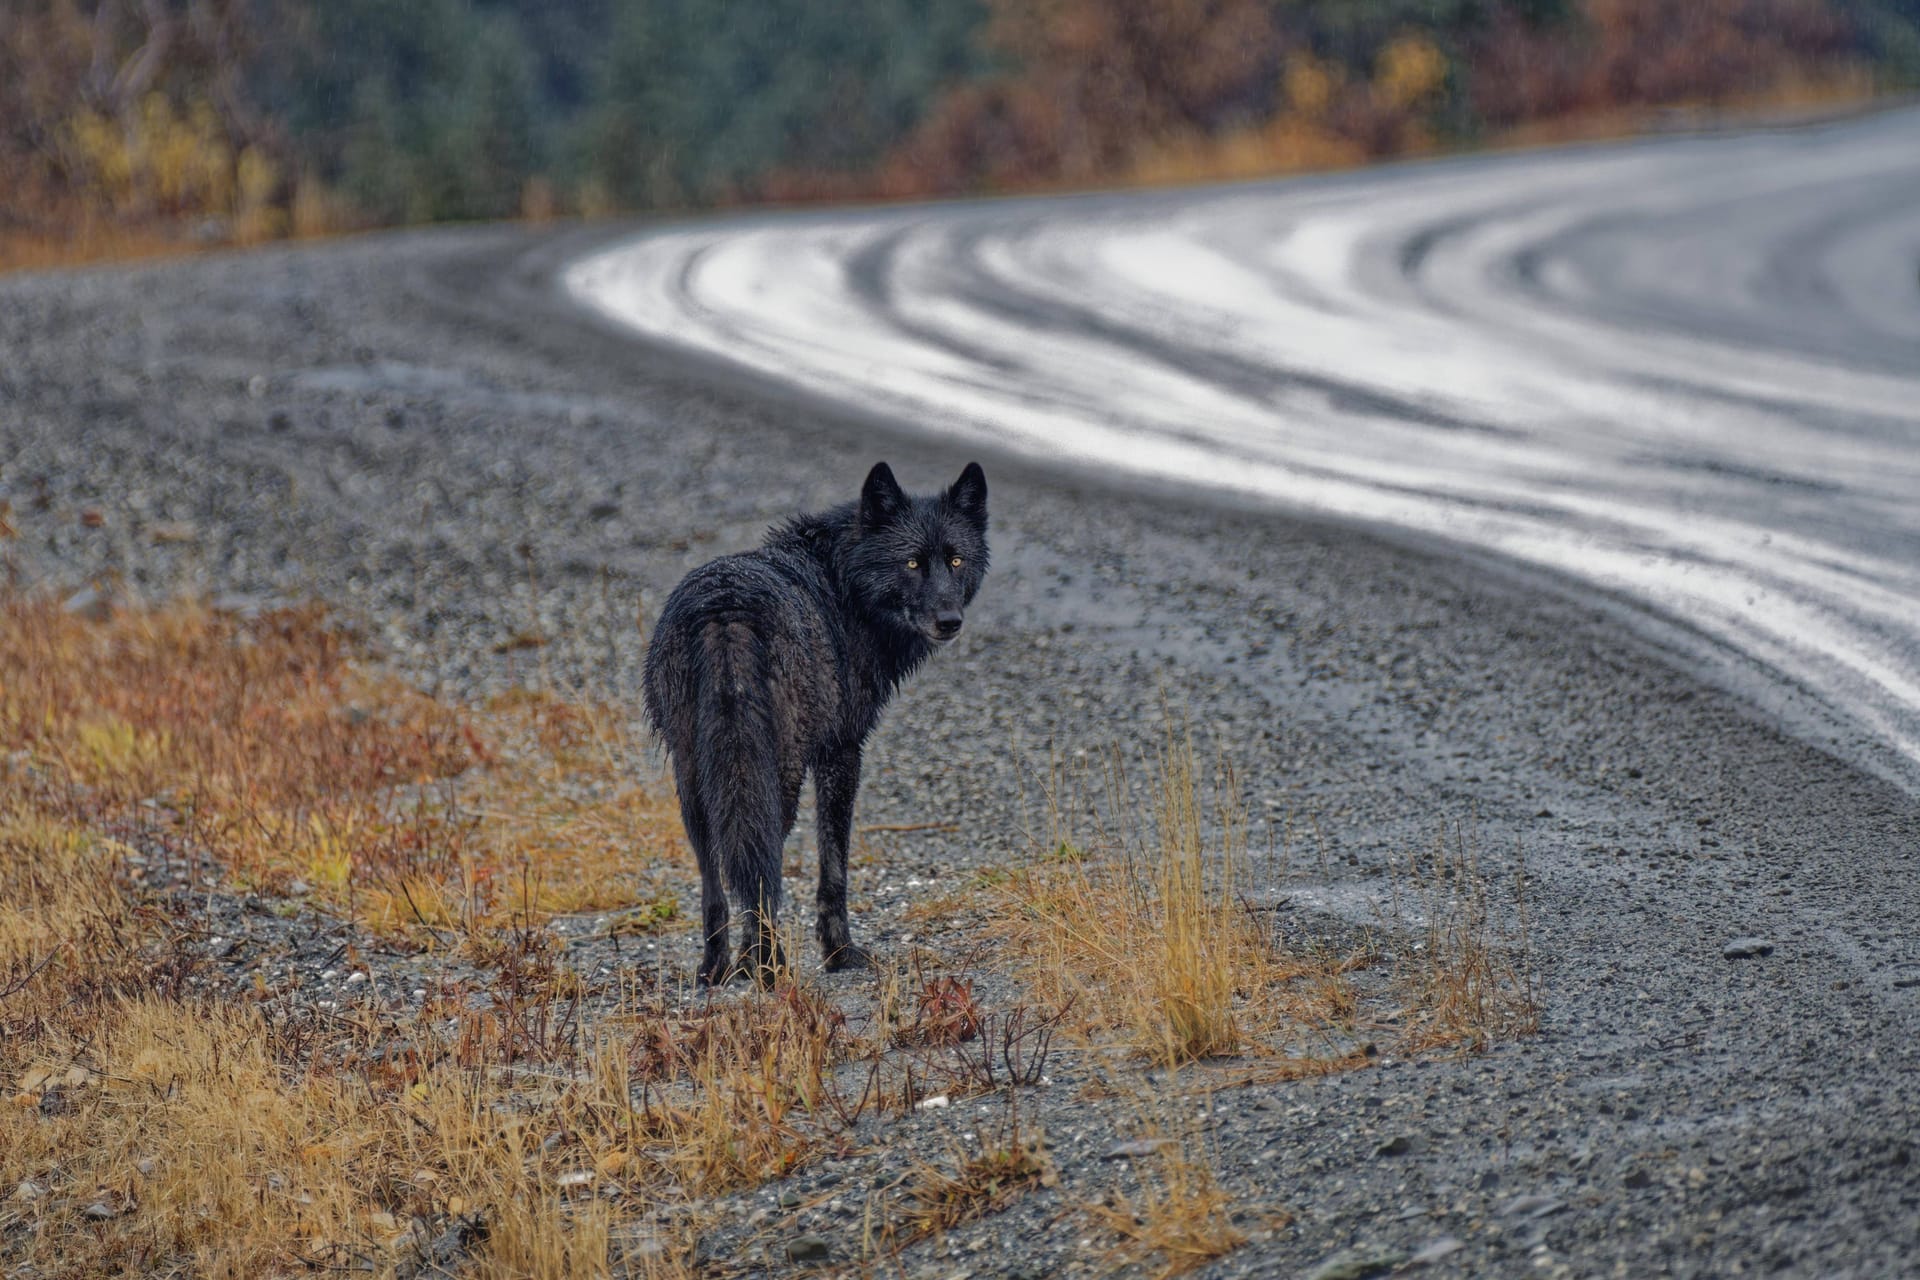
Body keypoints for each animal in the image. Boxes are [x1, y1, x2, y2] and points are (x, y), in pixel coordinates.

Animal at [648, 466, 990, 990]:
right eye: (911, 563)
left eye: (955, 560)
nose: (950, 621)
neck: (841, 583)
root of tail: (725, 609)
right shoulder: (842, 751)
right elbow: (834, 866)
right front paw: (839, 951)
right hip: (777, 776)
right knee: (761, 866)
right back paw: (769, 966)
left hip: (695, 778)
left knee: (717, 875)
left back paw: (719, 967)